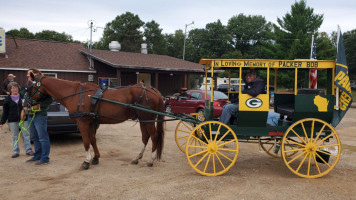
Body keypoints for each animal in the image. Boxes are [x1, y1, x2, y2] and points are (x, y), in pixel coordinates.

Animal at [26, 74, 165, 170]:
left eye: (29, 87)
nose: (25, 103)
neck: (75, 94)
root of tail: (153, 90)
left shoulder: (82, 122)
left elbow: (86, 142)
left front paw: (86, 161)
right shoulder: (91, 123)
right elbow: (93, 140)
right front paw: (96, 158)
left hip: (147, 119)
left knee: (154, 136)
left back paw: (150, 160)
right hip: (143, 119)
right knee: (145, 136)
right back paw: (137, 158)